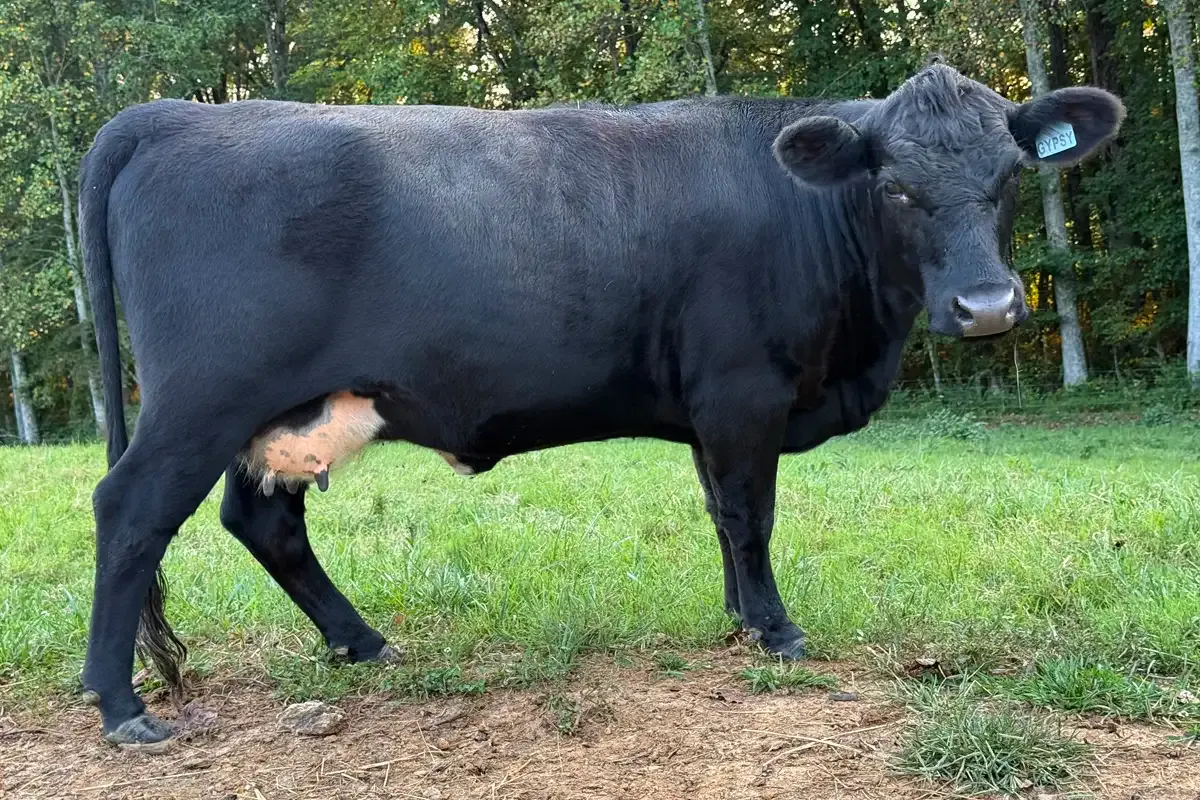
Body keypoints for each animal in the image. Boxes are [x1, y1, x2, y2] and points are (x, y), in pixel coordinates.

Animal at [76, 60, 1123, 744]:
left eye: (1009, 178)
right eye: (897, 187)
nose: (987, 307)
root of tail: (169, 116)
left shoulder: (710, 408)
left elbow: (720, 514)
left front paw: (741, 617)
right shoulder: (743, 392)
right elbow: (752, 514)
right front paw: (777, 630)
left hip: (283, 413)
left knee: (263, 522)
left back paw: (361, 642)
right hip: (202, 400)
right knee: (131, 513)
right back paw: (121, 705)